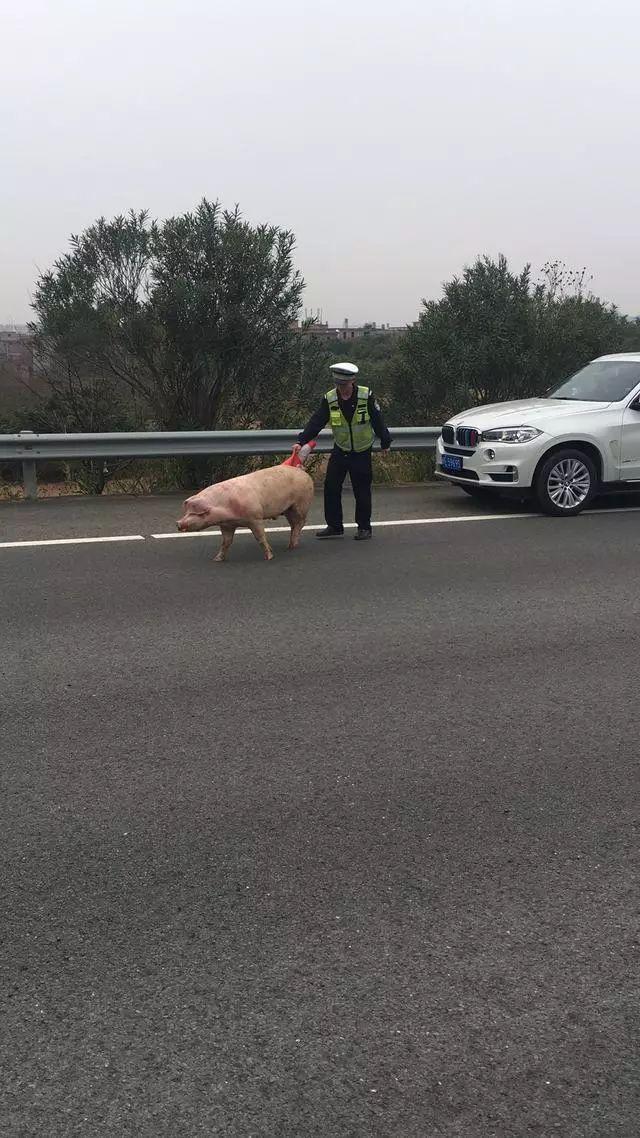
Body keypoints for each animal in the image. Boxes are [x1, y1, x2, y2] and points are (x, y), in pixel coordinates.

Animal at [174, 464, 314, 562]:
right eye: (186, 513)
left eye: (194, 514)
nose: (178, 523)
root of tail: (303, 472)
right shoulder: (226, 525)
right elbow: (226, 542)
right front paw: (216, 559)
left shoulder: (255, 518)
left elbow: (260, 538)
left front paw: (269, 557)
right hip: (288, 509)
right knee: (293, 525)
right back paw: (290, 545)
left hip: (301, 503)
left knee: (301, 522)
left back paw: (291, 547)